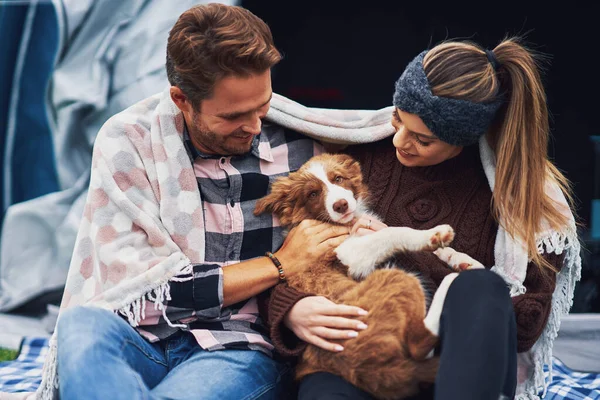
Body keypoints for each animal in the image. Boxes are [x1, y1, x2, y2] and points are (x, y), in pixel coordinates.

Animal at [253, 153, 482, 400]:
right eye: (312, 194)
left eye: (338, 178)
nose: (340, 205)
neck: (345, 223)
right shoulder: (349, 254)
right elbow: (394, 232)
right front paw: (432, 234)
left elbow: (430, 249)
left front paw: (464, 259)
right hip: (397, 278)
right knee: (419, 344)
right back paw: (451, 283)